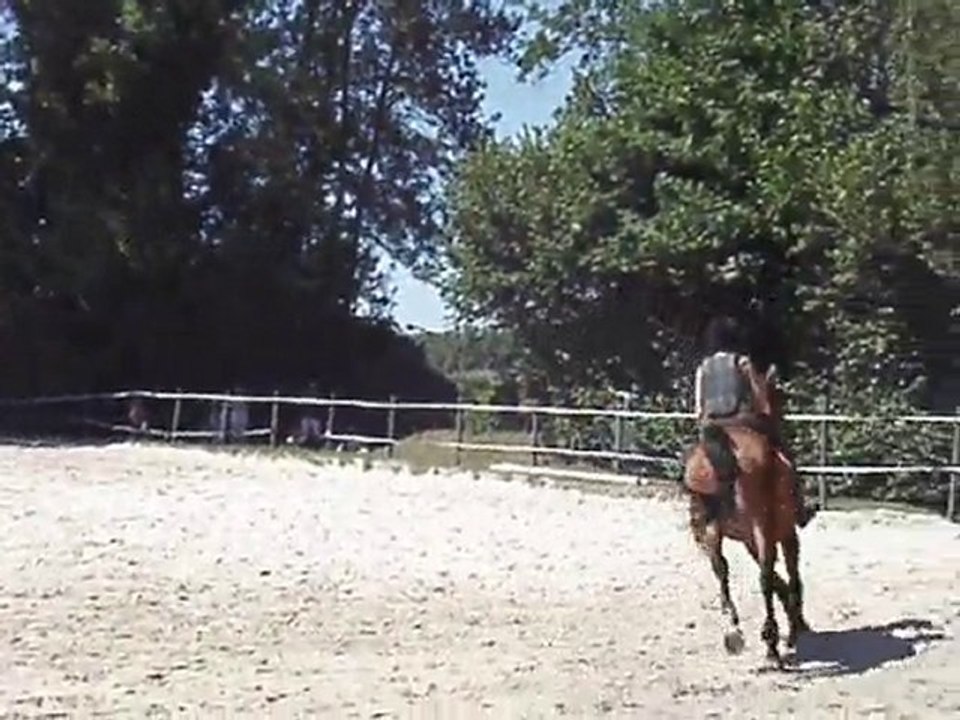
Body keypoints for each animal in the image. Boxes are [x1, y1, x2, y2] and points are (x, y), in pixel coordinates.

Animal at [682, 363, 811, 668]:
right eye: (778, 396)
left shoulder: (750, 539)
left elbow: (776, 579)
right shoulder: (785, 534)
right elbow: (787, 576)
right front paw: (796, 625)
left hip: (711, 529)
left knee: (721, 569)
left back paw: (734, 632)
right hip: (762, 526)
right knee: (763, 575)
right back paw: (771, 645)